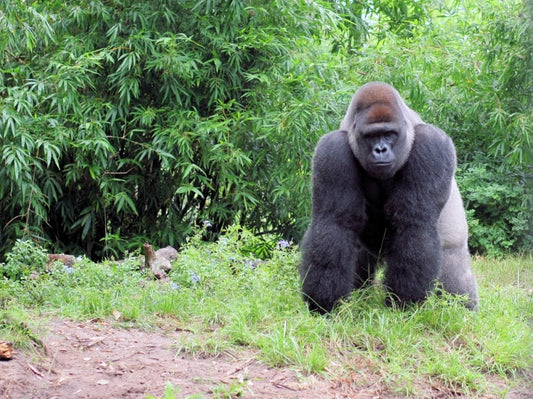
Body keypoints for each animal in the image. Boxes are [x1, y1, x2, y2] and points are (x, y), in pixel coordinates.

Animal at [300, 82, 478, 316]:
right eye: (371, 136)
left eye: (389, 134)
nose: (380, 150)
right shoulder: (331, 150)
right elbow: (335, 224)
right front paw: (323, 302)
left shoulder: (432, 144)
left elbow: (413, 224)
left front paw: (404, 302)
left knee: (454, 269)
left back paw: (463, 308)